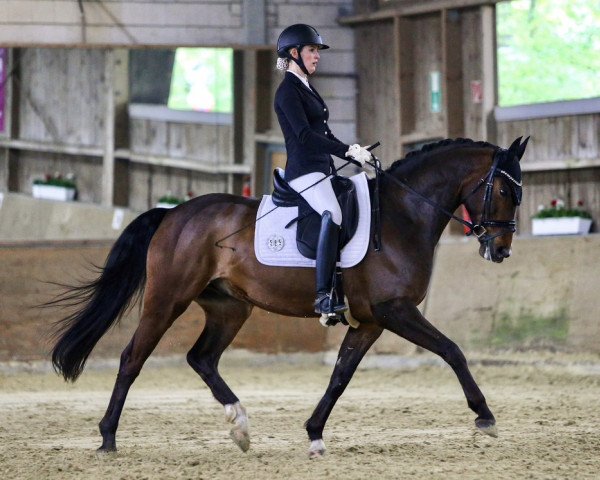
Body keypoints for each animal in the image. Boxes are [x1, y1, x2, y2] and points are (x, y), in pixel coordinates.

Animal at [50, 135, 528, 458]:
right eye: (505, 190)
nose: (501, 250)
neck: (402, 217)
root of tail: (173, 214)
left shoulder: (372, 322)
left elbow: (340, 376)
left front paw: (314, 432)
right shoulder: (395, 311)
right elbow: (452, 351)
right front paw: (484, 416)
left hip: (230, 307)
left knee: (201, 358)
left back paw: (240, 426)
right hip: (168, 299)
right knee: (133, 358)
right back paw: (108, 437)